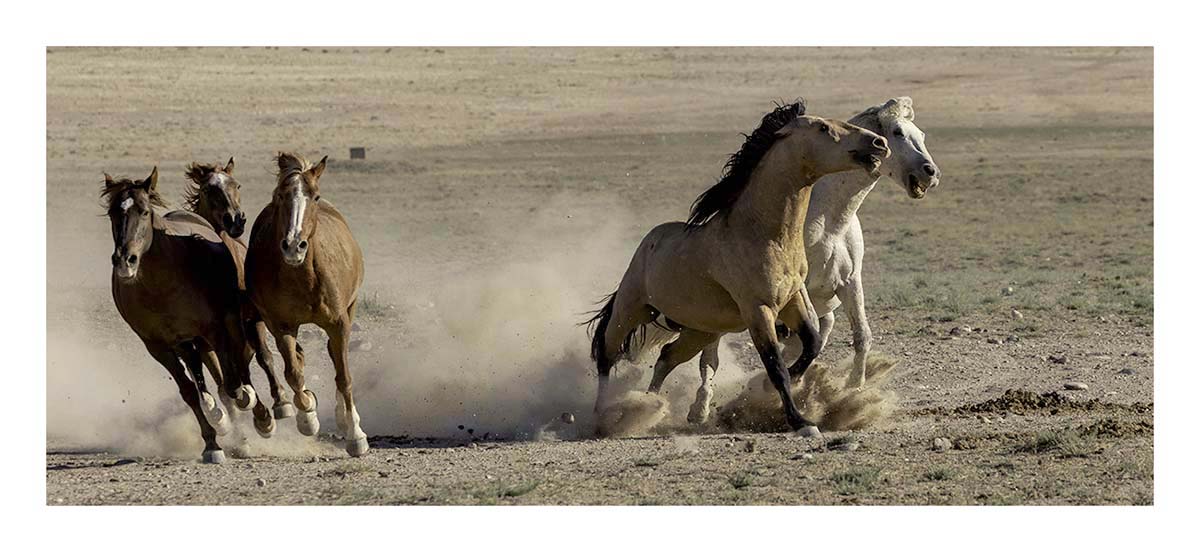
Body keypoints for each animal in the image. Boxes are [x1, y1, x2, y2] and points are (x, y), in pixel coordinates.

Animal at [103, 167, 262, 463]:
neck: (161, 284)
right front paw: (212, 442)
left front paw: (244, 405)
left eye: (144, 211)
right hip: (186, 342)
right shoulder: (157, 346)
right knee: (205, 381)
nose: (125, 261)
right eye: (112, 213)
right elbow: (190, 391)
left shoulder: (214, 330)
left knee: (232, 376)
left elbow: (233, 384)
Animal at [183, 158, 297, 428]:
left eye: (237, 185)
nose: (235, 220)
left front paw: (281, 403)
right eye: (208, 189)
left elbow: (263, 357)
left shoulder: (253, 319)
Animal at [245, 152, 368, 457]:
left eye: (314, 195)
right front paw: (307, 416)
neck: (303, 277)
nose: (293, 245)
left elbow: (344, 376)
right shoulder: (281, 326)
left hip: (350, 310)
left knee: (336, 358)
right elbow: (293, 373)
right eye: (280, 195)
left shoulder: (339, 323)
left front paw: (356, 435)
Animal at [586, 100, 890, 436]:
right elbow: (775, 365)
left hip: (700, 330)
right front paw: (800, 421)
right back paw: (603, 415)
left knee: (666, 358)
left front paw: (787, 385)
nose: (879, 143)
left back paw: (650, 405)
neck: (764, 233)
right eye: (823, 127)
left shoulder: (794, 299)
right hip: (631, 310)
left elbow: (811, 343)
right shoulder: (758, 310)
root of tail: (648, 243)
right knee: (606, 355)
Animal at [670, 97, 942, 425]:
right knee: (709, 357)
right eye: (897, 132)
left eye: (922, 135)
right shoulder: (796, 292)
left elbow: (860, 336)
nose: (930, 173)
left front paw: (854, 389)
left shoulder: (850, 284)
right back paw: (700, 408)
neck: (829, 223)